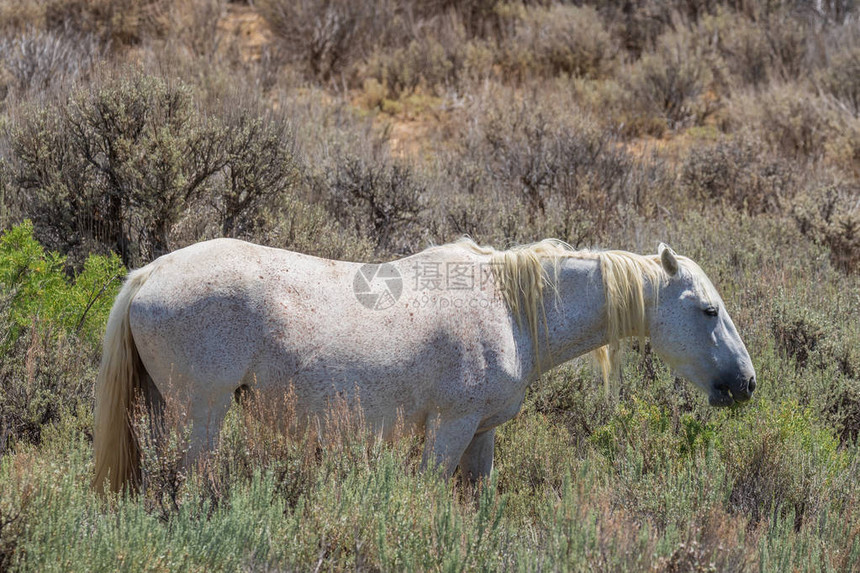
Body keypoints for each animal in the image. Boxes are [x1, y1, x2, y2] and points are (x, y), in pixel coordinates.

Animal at [90, 237, 756, 492]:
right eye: (708, 309)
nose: (746, 384)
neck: (508, 307)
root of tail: (150, 273)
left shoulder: (481, 433)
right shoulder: (449, 426)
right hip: (201, 414)